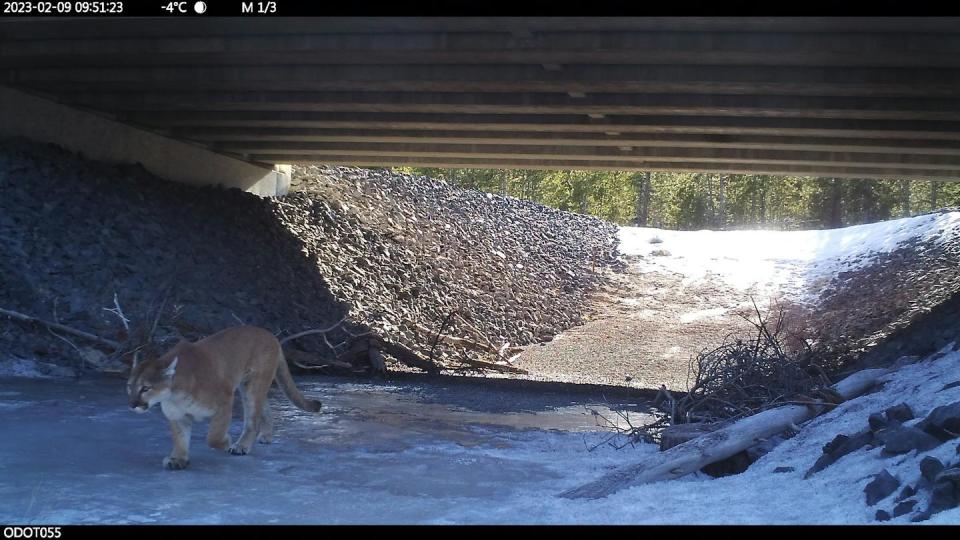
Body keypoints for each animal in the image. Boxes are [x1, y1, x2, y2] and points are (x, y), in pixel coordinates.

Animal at [125, 324, 322, 468]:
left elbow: (213, 436)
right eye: (129, 387)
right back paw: (266, 435)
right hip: (249, 385)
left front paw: (227, 442)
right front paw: (178, 459)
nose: (132, 404)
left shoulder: (225, 400)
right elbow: (180, 439)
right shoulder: (178, 416)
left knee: (252, 419)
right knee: (264, 408)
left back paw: (241, 446)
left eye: (145, 388)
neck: (174, 394)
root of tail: (270, 335)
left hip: (253, 384)